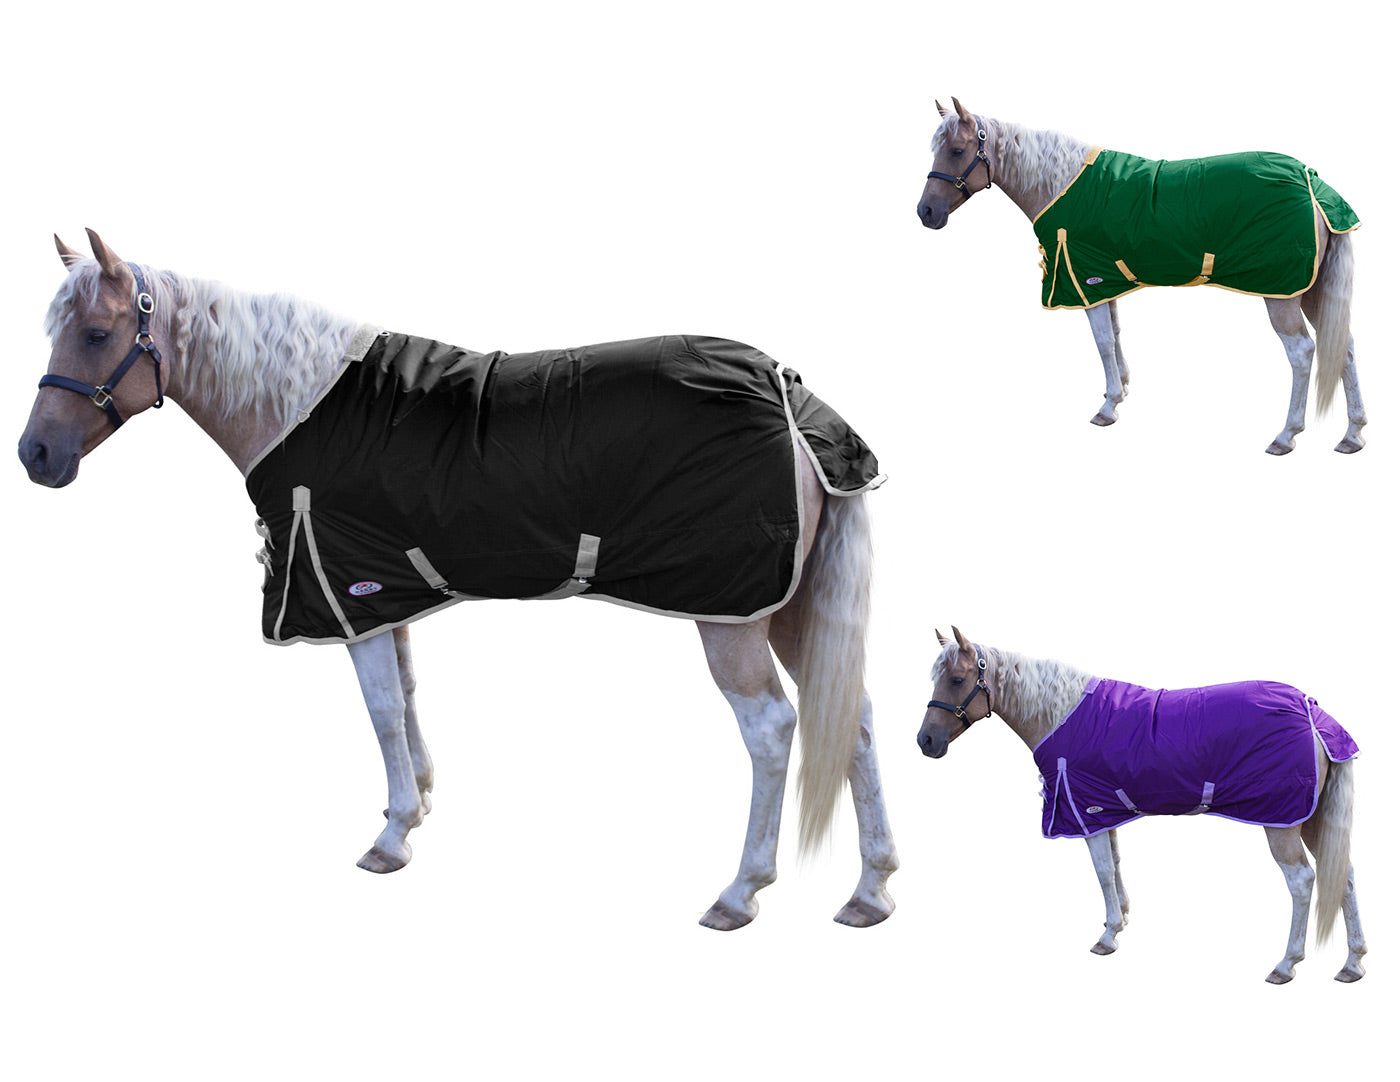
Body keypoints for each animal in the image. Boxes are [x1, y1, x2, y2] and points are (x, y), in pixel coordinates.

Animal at [17, 229, 899, 932]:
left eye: (97, 332)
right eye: (55, 330)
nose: (35, 457)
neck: (299, 405)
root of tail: (789, 394)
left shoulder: (347, 597)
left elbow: (378, 709)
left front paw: (390, 836)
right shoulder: (384, 597)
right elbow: (406, 698)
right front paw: (417, 804)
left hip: (733, 616)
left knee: (773, 732)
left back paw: (740, 891)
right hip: (792, 607)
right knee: (850, 718)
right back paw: (871, 890)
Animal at [916, 98, 1366, 455]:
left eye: (957, 149)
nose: (926, 213)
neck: (1060, 185)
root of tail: (1312, 183)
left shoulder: (1084, 280)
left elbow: (1101, 341)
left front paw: (1108, 406)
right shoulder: (1102, 282)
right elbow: (1115, 336)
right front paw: (1121, 389)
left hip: (1282, 292)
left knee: (1302, 353)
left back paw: (1286, 435)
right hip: (1313, 289)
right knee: (1342, 346)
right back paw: (1353, 434)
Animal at [917, 628, 1367, 983]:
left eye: (957, 679)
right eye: (936, 678)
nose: (926, 742)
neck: (1061, 714)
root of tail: (1312, 711)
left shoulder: (1084, 811)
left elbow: (1101, 870)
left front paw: (1107, 936)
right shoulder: (1103, 812)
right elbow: (1114, 865)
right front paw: (1120, 920)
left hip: (1282, 821)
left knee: (1302, 882)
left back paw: (1286, 964)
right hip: (1313, 818)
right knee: (1341, 874)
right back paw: (1353, 963)